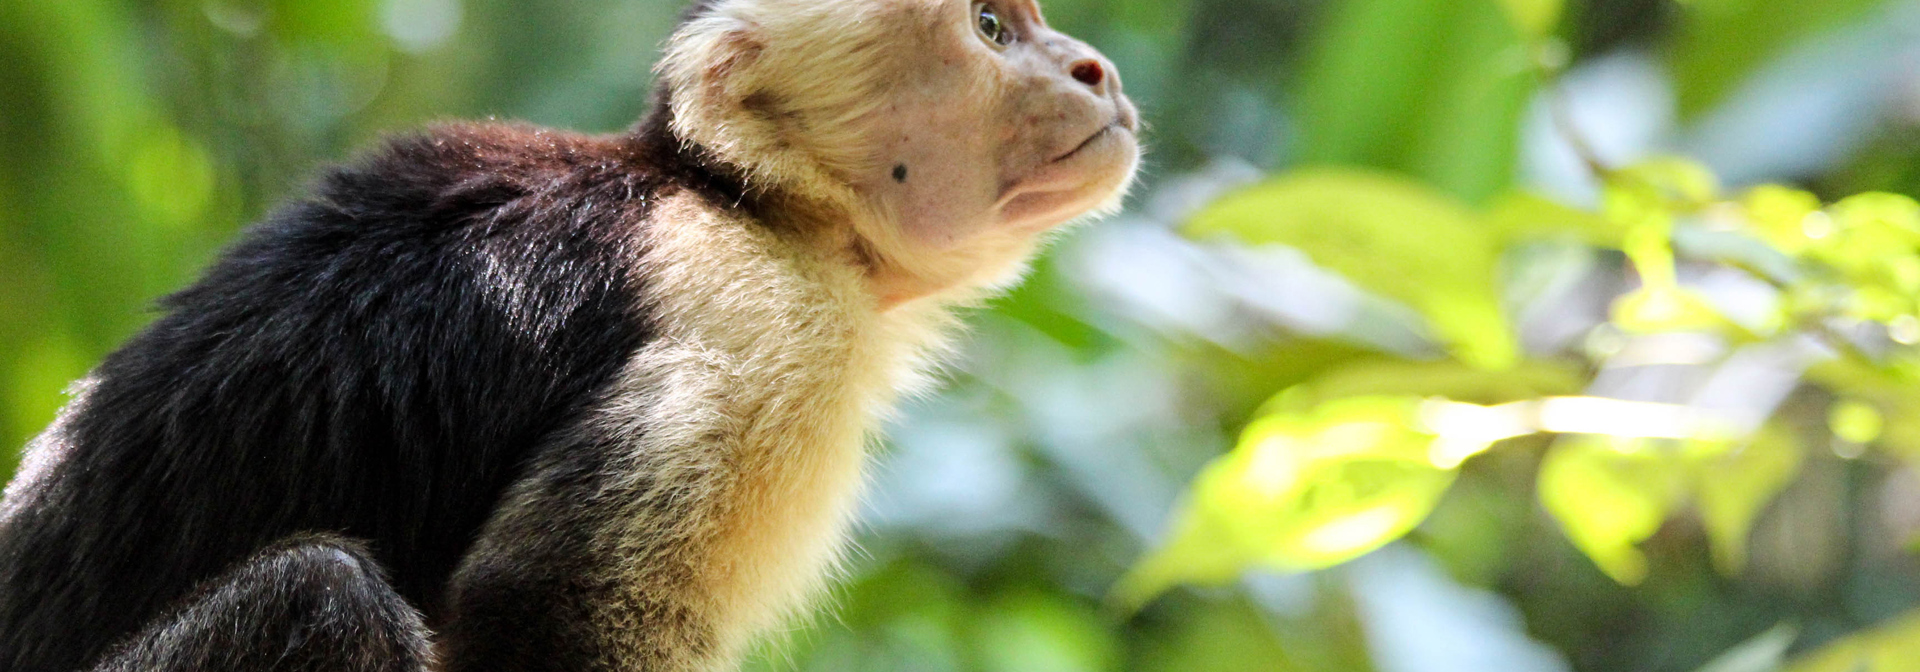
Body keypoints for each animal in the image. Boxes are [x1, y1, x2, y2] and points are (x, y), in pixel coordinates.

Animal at [0, 0, 1128, 668]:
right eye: (991, 25)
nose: (1095, 70)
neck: (733, 196)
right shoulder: (754, 315)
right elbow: (545, 609)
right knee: (323, 596)